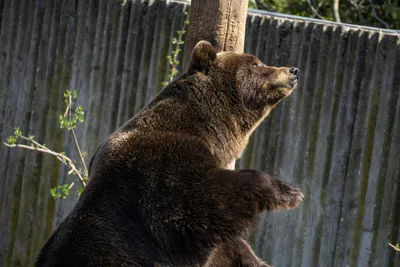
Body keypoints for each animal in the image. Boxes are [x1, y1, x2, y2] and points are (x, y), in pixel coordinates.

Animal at [35, 40, 304, 267]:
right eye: (256, 63)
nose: (293, 70)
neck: (208, 128)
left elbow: (234, 249)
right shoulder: (163, 170)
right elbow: (205, 201)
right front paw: (290, 192)